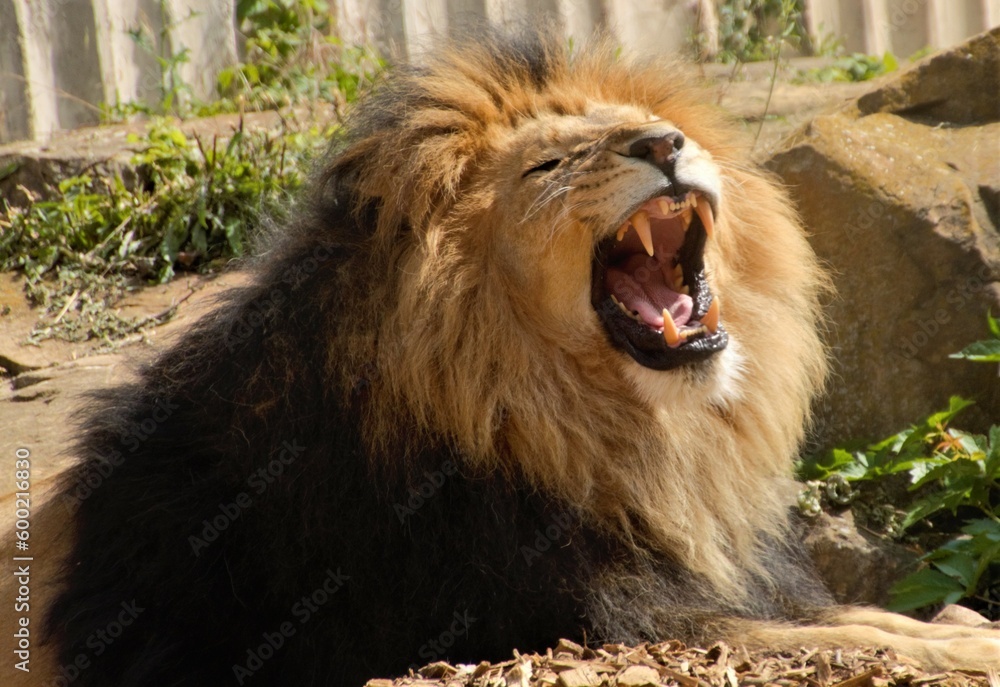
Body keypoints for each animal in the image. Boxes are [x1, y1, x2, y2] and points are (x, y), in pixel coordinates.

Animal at [5, 27, 999, 687]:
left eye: (647, 121)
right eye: (548, 165)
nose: (666, 143)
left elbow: (851, 614)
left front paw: (960, 623)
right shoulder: (577, 613)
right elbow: (828, 637)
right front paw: (966, 643)